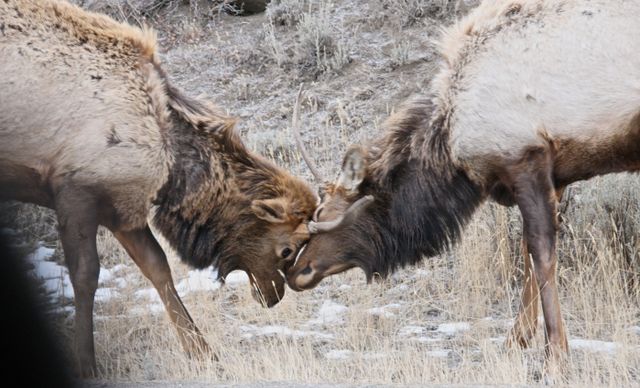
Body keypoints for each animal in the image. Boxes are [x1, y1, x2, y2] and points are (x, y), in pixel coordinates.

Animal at [0, 0, 318, 376]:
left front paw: (204, 353)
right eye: (287, 249)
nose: (273, 295)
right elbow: (85, 276)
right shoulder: (74, 192)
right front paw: (86, 363)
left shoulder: (122, 208)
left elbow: (158, 268)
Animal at [288, 0, 640, 370]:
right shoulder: (552, 176)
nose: (296, 270)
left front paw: (555, 355)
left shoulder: (525, 158)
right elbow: (528, 255)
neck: (449, 146)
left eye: (325, 215)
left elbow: (541, 253)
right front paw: (517, 339)